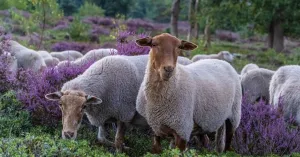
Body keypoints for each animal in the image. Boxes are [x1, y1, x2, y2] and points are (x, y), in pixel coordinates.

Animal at [45, 54, 193, 153]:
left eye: (83, 106)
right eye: (60, 105)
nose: (68, 134)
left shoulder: (124, 114)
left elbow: (117, 140)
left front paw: (121, 150)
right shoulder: (104, 113)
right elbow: (101, 138)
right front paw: (126, 147)